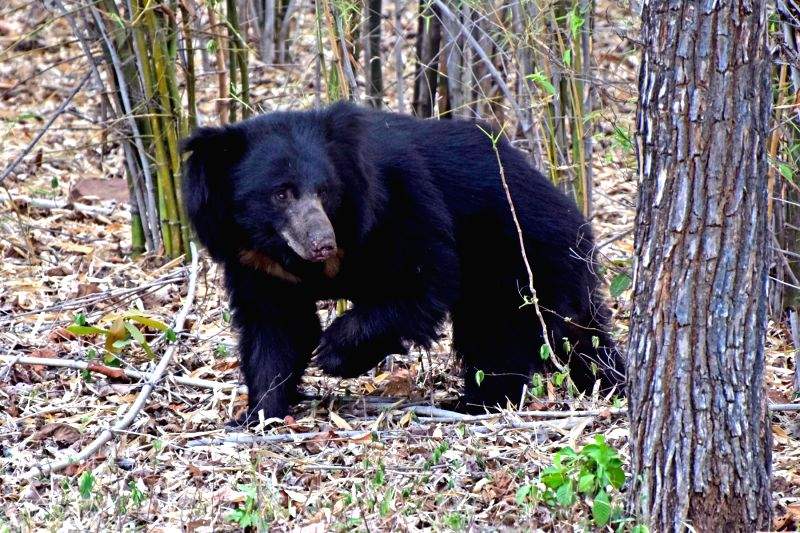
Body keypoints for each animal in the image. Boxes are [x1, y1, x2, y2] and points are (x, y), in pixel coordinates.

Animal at [183, 102, 624, 422]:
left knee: (506, 329)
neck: (285, 251)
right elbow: (275, 326)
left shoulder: (398, 200)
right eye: (280, 193)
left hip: (520, 254)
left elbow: (423, 277)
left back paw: (480, 401)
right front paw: (259, 414)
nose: (323, 243)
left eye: (325, 190)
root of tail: (571, 211)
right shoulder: (255, 260)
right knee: (569, 331)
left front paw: (334, 353)